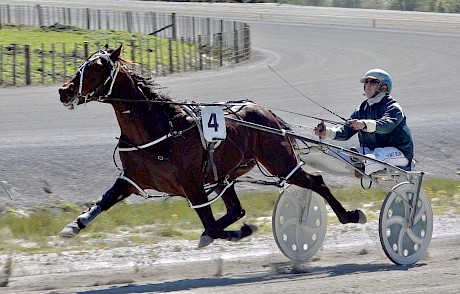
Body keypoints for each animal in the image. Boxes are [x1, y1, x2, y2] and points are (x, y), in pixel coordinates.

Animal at [58, 44, 366, 247]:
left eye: (96, 68)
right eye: (84, 63)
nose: (64, 91)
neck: (158, 130)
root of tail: (265, 111)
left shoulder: (191, 184)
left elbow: (211, 224)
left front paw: (236, 232)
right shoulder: (132, 178)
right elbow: (104, 200)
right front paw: (73, 226)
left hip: (279, 161)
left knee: (316, 181)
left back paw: (349, 215)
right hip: (226, 174)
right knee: (236, 209)